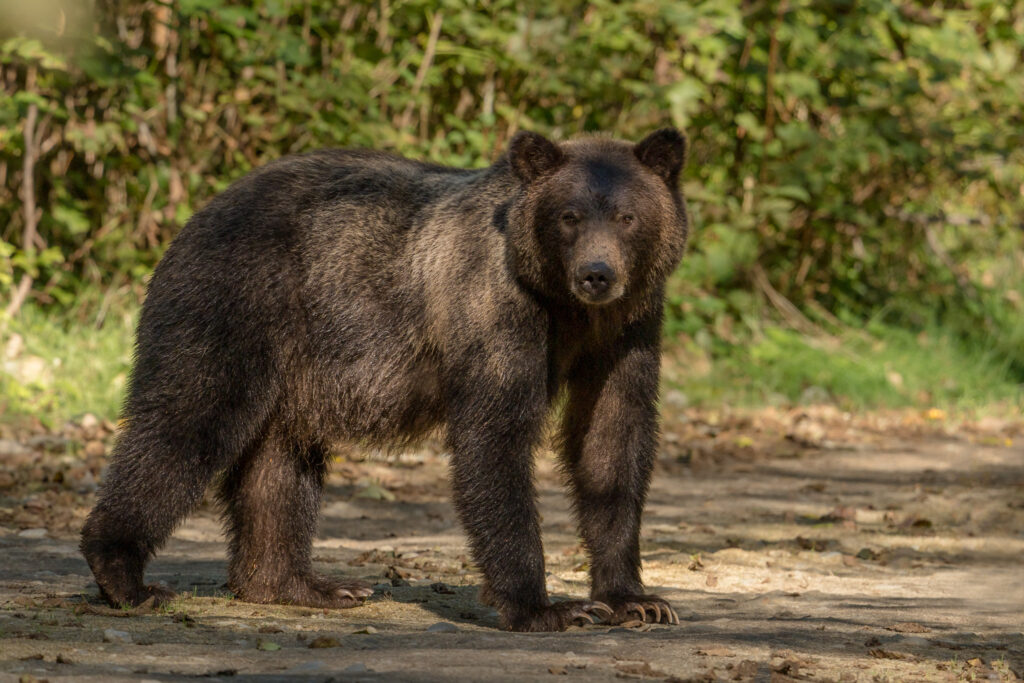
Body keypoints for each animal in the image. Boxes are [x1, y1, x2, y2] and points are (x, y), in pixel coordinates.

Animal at [79, 128, 689, 632]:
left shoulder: (628, 329)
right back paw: (126, 576)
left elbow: (611, 440)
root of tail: (197, 214)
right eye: (569, 215)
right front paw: (546, 607)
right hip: (233, 303)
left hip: (294, 368)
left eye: (627, 217)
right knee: (189, 420)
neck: (565, 309)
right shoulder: (495, 310)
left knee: (279, 465)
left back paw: (306, 586)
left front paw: (636, 599)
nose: (597, 274)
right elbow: (496, 440)